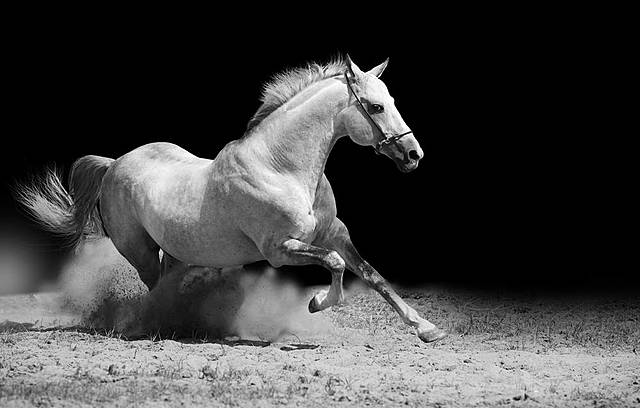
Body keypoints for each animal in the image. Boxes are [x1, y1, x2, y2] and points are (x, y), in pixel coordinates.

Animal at [17, 55, 446, 343]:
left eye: (392, 100)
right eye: (375, 106)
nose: (414, 155)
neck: (280, 167)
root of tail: (115, 163)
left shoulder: (334, 234)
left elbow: (373, 275)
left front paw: (427, 328)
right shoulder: (280, 249)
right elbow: (337, 265)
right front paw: (316, 303)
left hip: (177, 252)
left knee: (168, 284)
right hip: (138, 250)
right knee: (155, 288)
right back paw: (160, 325)